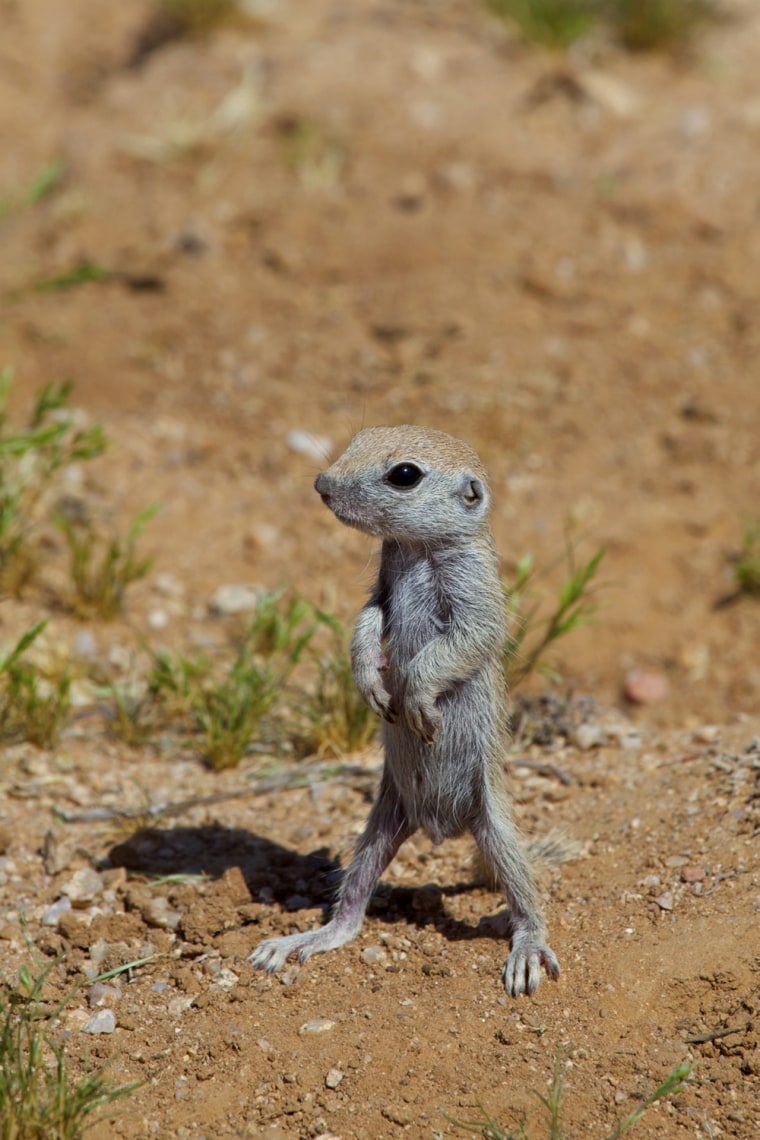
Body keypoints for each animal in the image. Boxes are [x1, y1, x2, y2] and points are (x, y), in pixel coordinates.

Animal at [252, 424, 562, 994]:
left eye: (404, 474)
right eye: (360, 436)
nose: (321, 484)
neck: (416, 549)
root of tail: (442, 826)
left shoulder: (477, 594)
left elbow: (461, 642)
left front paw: (416, 697)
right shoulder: (382, 582)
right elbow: (368, 618)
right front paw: (369, 679)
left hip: (497, 827)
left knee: (524, 894)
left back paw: (528, 948)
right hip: (379, 824)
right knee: (352, 904)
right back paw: (305, 939)